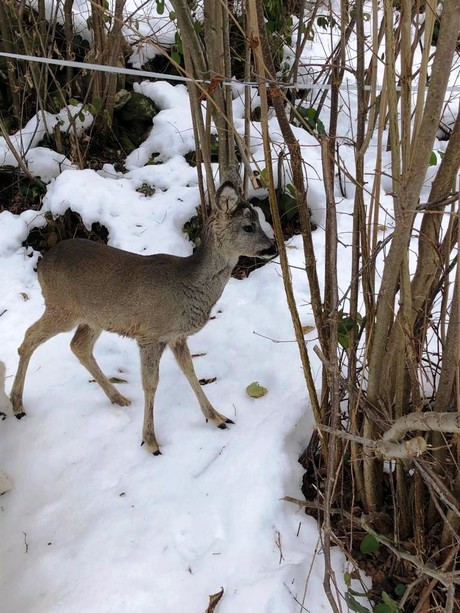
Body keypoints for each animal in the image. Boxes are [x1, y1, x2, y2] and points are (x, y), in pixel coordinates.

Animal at [9, 179, 276, 452]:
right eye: (248, 227)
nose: (272, 248)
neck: (187, 285)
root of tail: (42, 263)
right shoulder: (149, 334)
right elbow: (151, 383)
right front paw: (150, 440)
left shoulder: (176, 336)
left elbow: (190, 371)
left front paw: (217, 417)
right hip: (61, 307)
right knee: (29, 337)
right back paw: (17, 404)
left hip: (93, 318)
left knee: (78, 346)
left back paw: (118, 398)